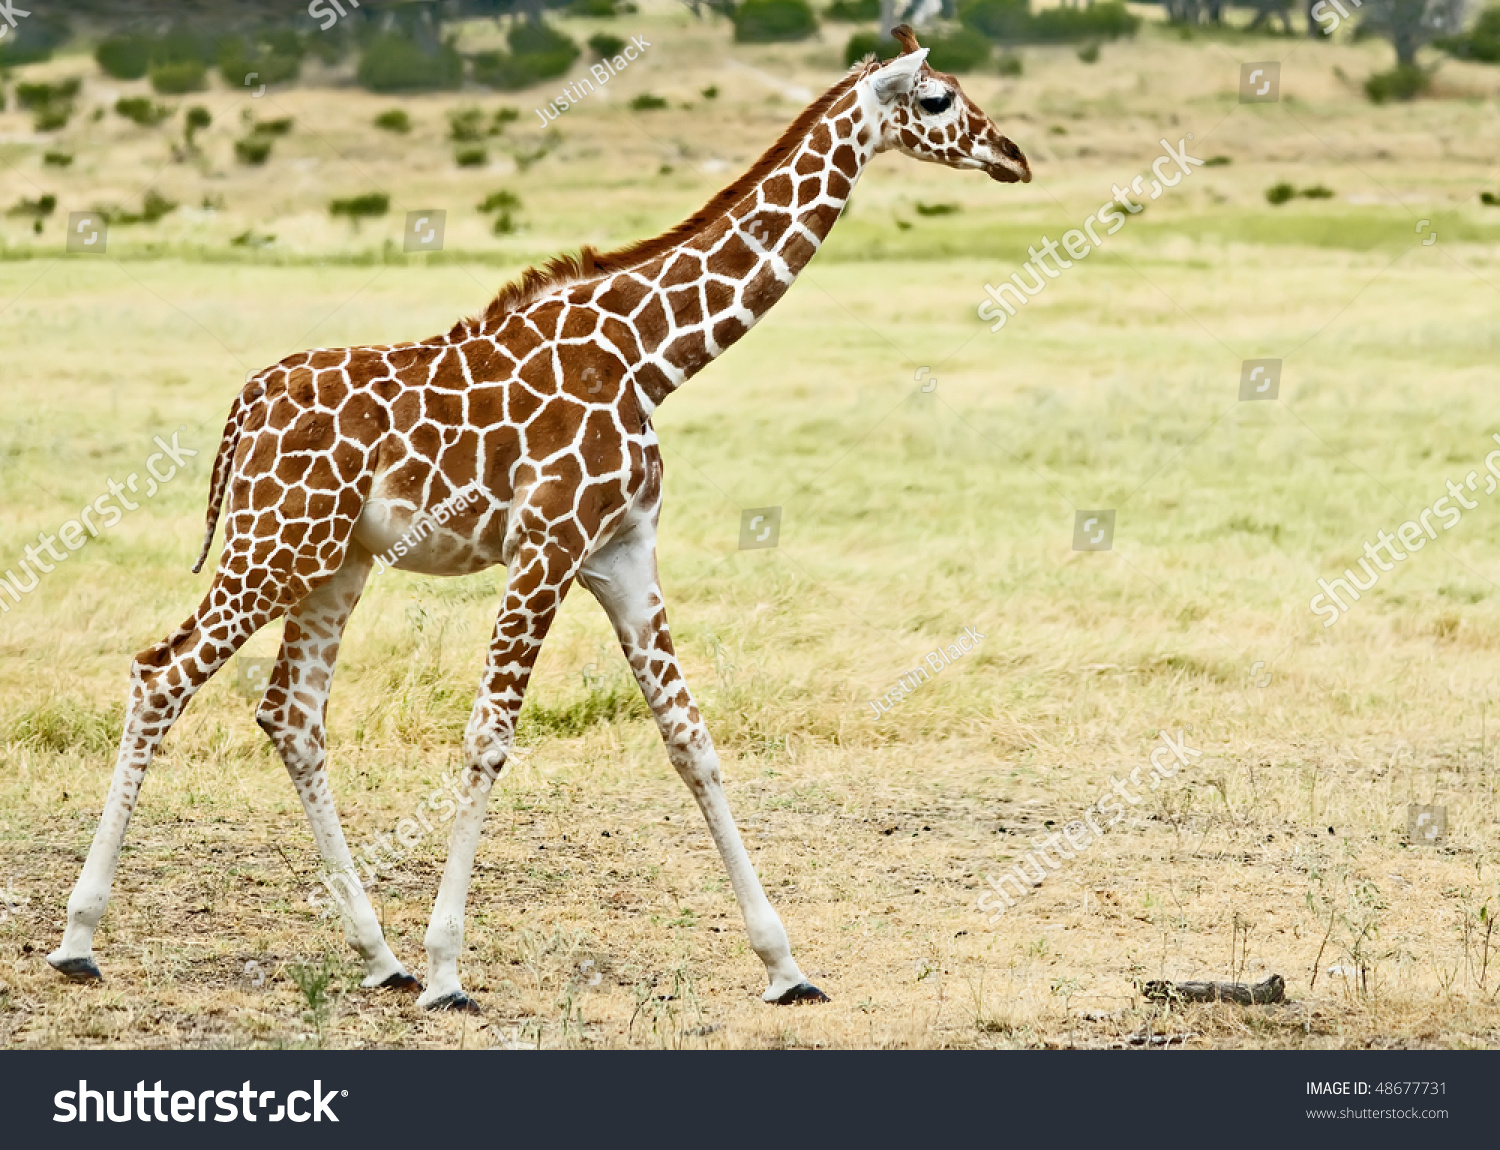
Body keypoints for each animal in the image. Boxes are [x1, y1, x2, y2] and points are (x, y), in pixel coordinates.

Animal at [49, 26, 1032, 1013]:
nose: (1014, 156)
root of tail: (244, 405)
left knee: (291, 712)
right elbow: (489, 738)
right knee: (161, 674)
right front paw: (450, 969)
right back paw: (80, 940)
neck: (647, 354)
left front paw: (785, 967)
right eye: (940, 100)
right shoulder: (547, 545)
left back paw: (379, 955)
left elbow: (690, 738)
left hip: (335, 560)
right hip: (275, 541)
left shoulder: (623, 553)